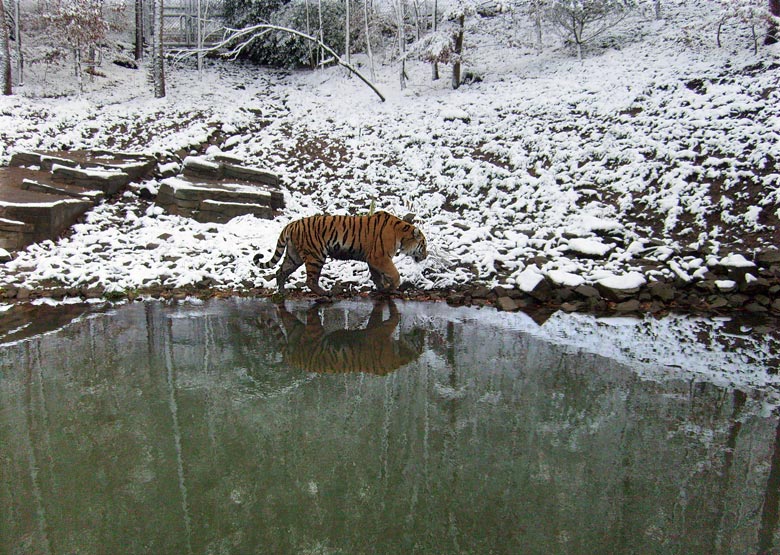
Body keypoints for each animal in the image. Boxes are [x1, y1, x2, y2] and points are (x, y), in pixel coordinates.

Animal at [254, 210, 426, 296]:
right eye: (423, 246)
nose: (425, 256)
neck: (401, 234)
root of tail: (292, 224)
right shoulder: (380, 257)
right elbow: (394, 274)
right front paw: (392, 287)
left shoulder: (373, 259)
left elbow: (377, 276)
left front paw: (383, 289)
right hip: (316, 255)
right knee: (310, 280)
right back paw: (325, 295)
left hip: (294, 255)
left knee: (281, 271)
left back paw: (282, 291)